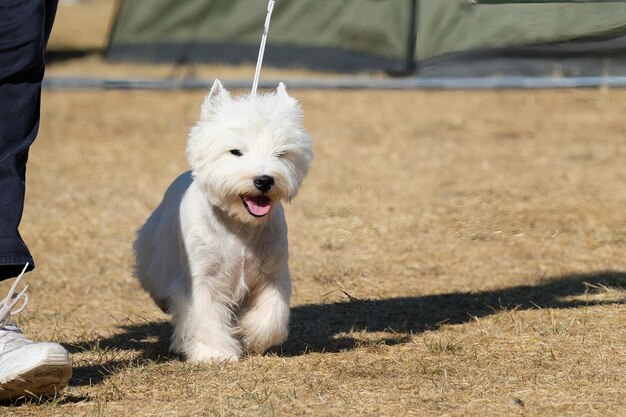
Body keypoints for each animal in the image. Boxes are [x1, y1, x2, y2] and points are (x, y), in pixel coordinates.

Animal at [135, 80, 314, 360]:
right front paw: (214, 353)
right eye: (235, 152)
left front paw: (252, 337)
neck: (240, 224)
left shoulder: (272, 274)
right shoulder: (202, 279)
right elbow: (205, 317)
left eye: (281, 153)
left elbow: (271, 314)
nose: (264, 180)